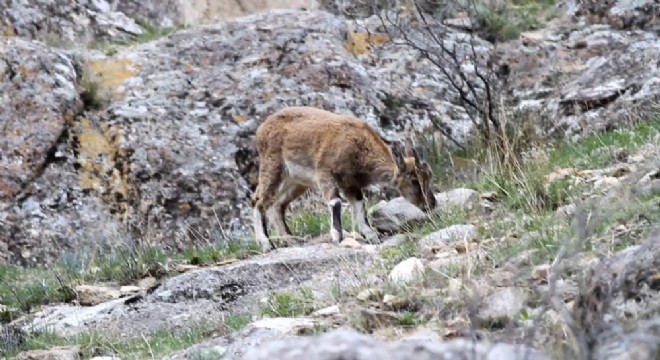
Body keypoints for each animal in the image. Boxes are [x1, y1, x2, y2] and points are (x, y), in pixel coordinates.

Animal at [250, 105, 436, 252]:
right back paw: (266, 244)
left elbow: (360, 206)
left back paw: (290, 239)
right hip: (272, 166)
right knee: (259, 200)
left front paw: (371, 235)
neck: (359, 148)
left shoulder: (350, 184)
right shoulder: (325, 174)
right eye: (414, 180)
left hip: (296, 181)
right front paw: (338, 237)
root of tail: (261, 129)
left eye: (429, 176)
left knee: (277, 205)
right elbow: (336, 202)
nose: (431, 204)